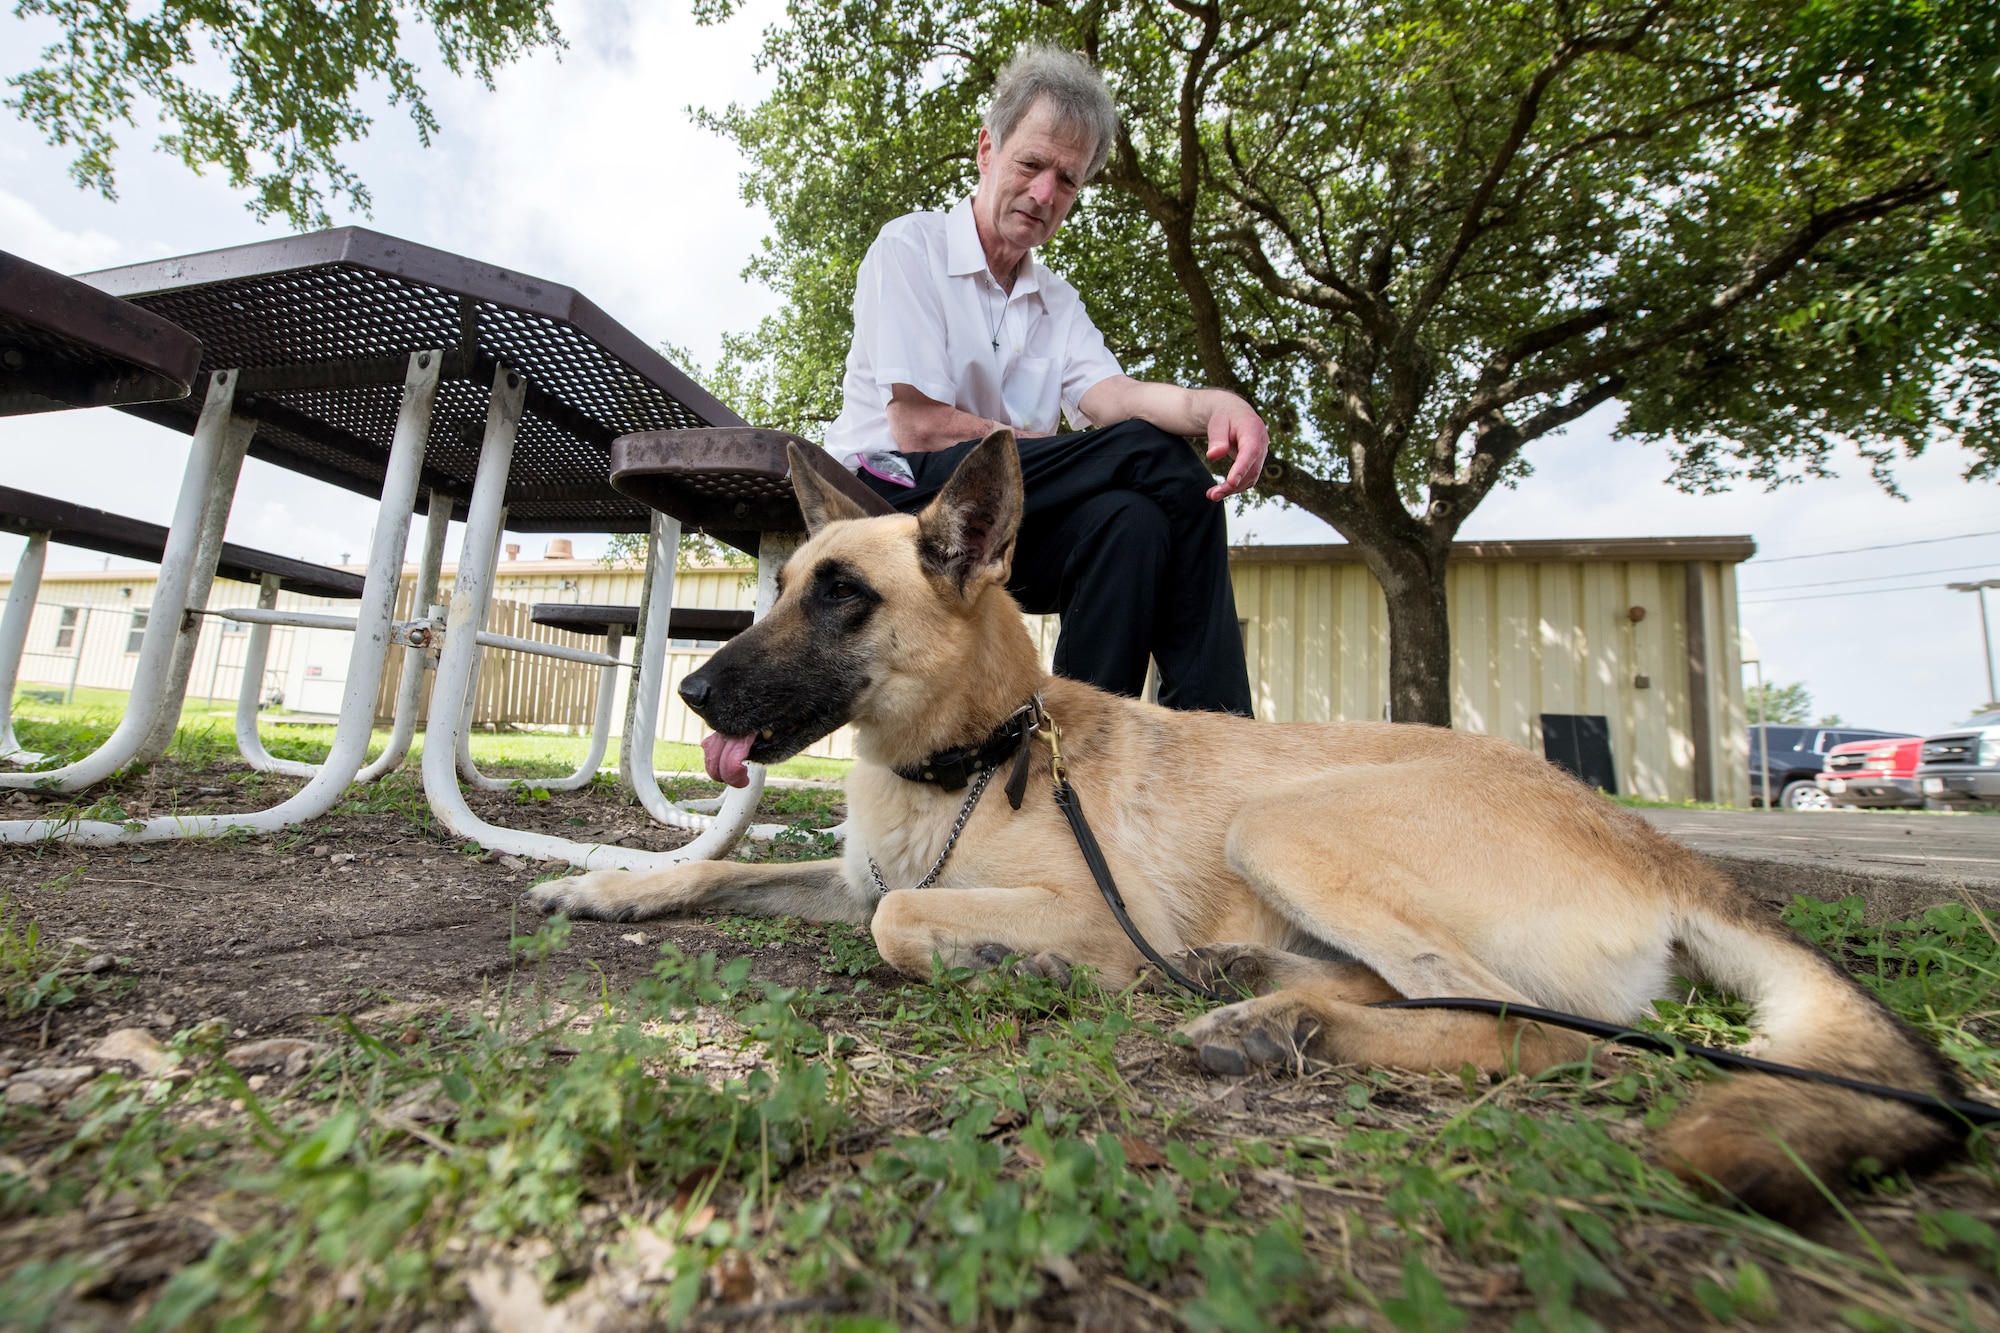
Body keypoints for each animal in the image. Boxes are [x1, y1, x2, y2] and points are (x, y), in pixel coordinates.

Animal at [528, 430, 1952, 1216]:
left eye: (839, 598)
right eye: (779, 591)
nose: (692, 692)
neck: (974, 755)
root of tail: (1652, 842)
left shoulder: (1039, 902)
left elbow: (904, 915)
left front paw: (1005, 960)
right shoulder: (839, 872)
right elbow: (723, 876)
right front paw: (607, 887)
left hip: (1286, 821)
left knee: (1523, 1026)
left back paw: (1282, 1025)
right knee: (1423, 993)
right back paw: (1253, 987)